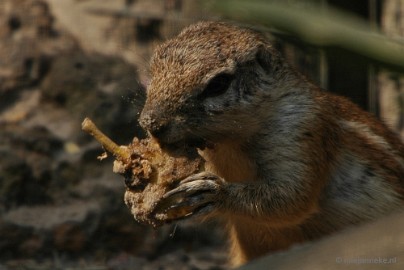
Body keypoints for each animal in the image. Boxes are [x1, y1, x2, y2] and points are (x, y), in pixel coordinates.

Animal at [137, 21, 402, 266]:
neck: (229, 145)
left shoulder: (300, 131)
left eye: (218, 84)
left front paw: (213, 192)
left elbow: (291, 197)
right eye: (153, 69)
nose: (151, 123)